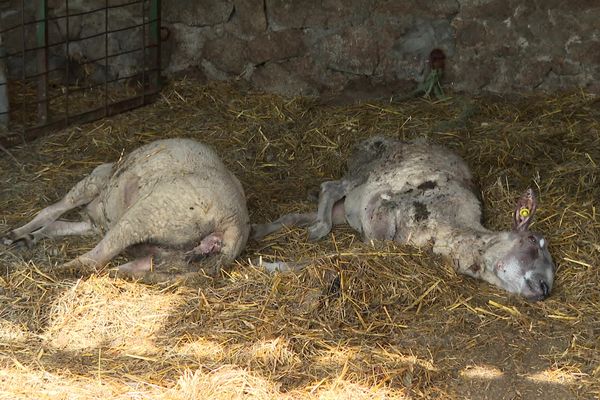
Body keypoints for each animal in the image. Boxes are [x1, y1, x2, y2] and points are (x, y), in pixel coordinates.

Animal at [2, 138, 251, 282]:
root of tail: (233, 223)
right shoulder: (94, 223)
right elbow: (56, 224)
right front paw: (27, 237)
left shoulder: (91, 187)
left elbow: (50, 212)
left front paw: (15, 234)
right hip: (173, 262)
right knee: (123, 267)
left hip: (149, 213)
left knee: (95, 259)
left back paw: (58, 270)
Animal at [252, 137, 552, 300]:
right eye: (532, 239)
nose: (545, 287)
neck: (452, 228)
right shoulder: (383, 215)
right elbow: (330, 257)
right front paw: (270, 266)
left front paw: (271, 264)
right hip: (364, 172)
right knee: (330, 187)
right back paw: (317, 230)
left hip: (347, 208)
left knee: (301, 213)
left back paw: (260, 229)